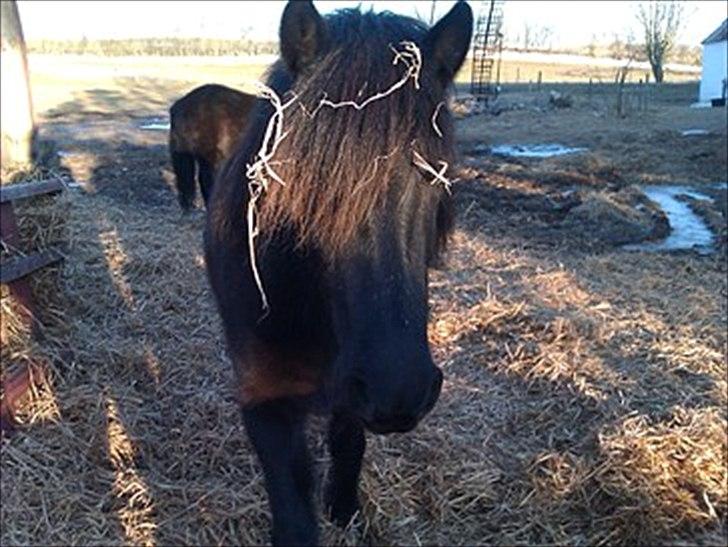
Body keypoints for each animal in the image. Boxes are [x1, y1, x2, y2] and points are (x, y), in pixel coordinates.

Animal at [205, 3, 472, 544]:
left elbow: (350, 445)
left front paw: (345, 510)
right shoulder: (265, 396)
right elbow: (292, 508)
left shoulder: (354, 392)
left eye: (437, 178)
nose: (401, 390)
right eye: (307, 181)